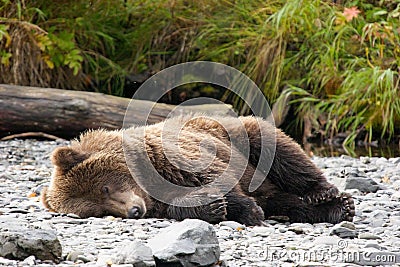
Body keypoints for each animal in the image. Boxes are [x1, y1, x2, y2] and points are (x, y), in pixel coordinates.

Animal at [41, 115, 354, 226]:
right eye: (96, 210)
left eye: (104, 188)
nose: (134, 210)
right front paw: (216, 208)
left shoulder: (176, 157)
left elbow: (216, 177)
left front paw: (246, 210)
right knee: (283, 200)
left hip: (242, 138)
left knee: (284, 155)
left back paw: (328, 196)